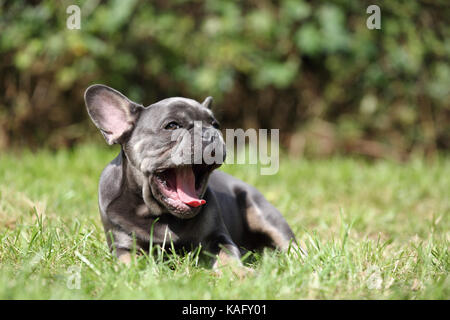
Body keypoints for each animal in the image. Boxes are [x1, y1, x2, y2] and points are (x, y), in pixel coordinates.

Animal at [84, 84, 302, 270]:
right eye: (172, 126)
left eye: (215, 124)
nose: (210, 132)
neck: (161, 215)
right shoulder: (123, 246)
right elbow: (129, 263)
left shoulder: (218, 238)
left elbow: (228, 257)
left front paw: (240, 274)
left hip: (264, 214)